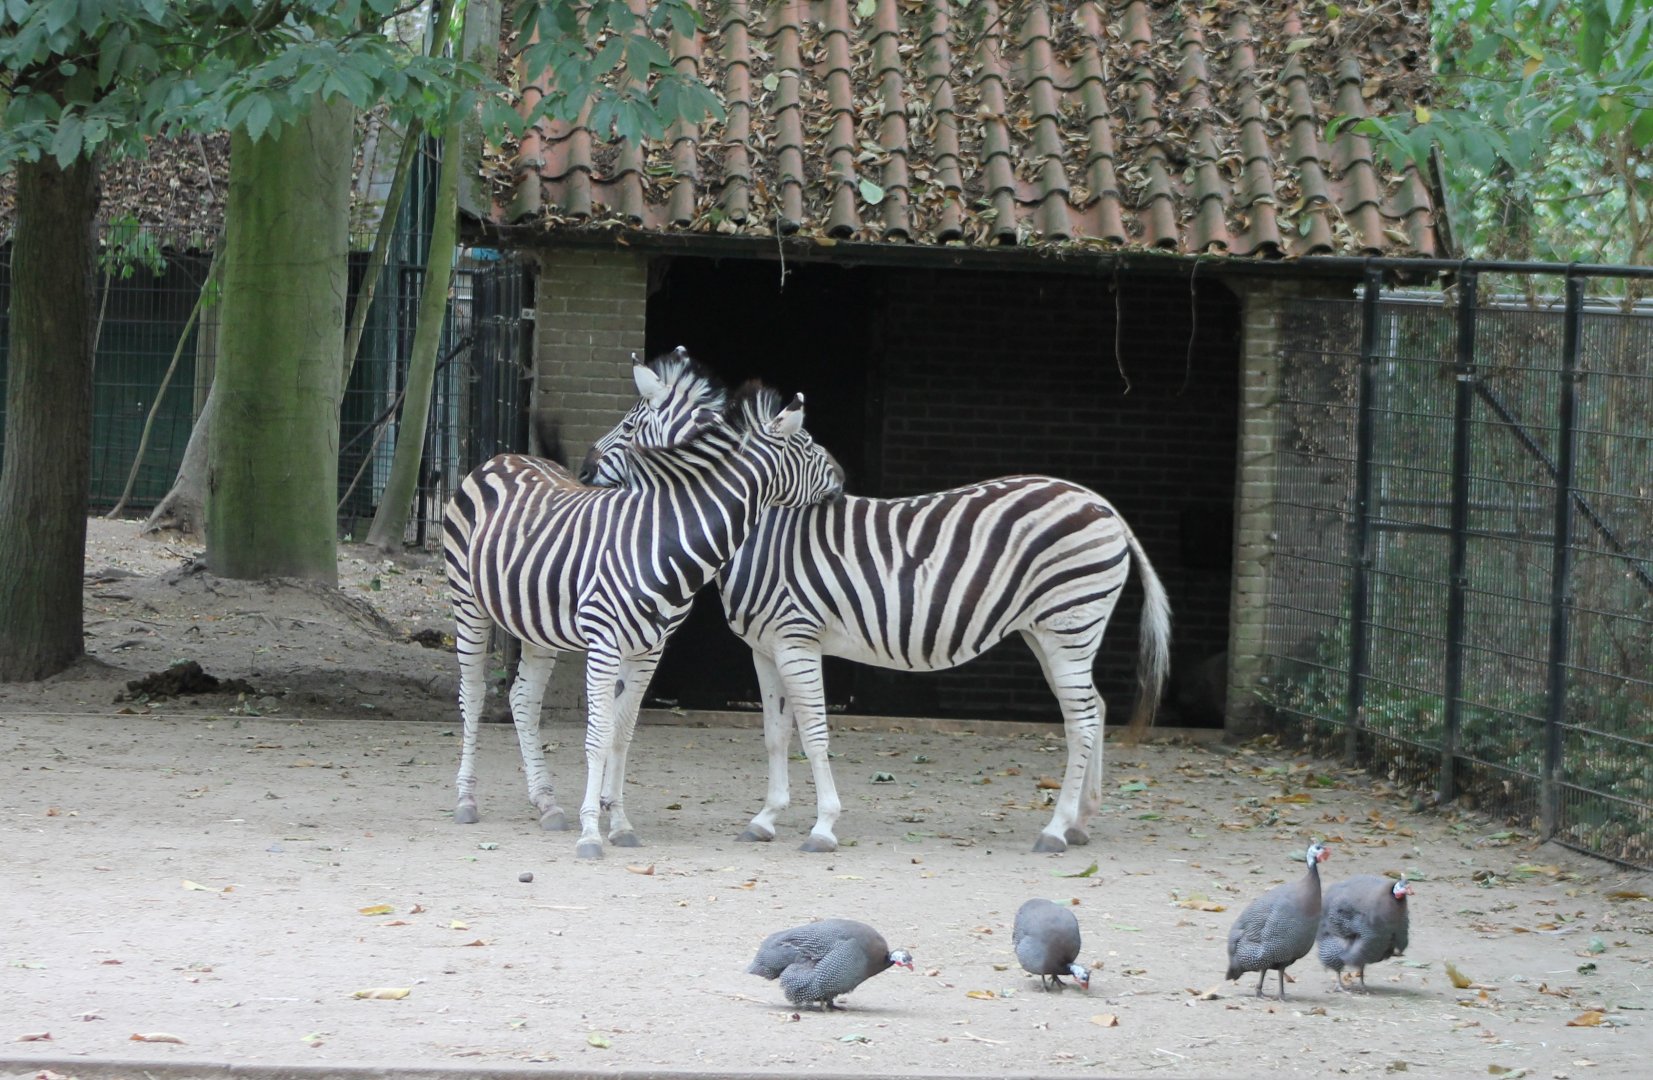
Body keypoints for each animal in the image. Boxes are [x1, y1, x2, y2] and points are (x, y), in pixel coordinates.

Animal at [442, 352, 844, 858]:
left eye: (631, 423)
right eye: (808, 445)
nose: (843, 478)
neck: (664, 533)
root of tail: (505, 456)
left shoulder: (651, 648)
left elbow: (621, 733)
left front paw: (618, 822)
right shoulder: (604, 641)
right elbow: (597, 735)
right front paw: (591, 832)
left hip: (536, 623)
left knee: (523, 699)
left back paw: (547, 803)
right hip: (468, 604)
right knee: (473, 694)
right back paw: (465, 800)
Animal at [581, 359, 1172, 854]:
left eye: (630, 426)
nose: (584, 470)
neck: (758, 532)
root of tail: (1102, 505)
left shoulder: (797, 639)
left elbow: (815, 733)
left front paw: (822, 826)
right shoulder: (764, 650)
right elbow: (775, 735)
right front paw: (766, 819)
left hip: (1068, 623)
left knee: (1082, 720)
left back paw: (1055, 828)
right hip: (1051, 632)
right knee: (1094, 708)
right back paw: (1081, 821)